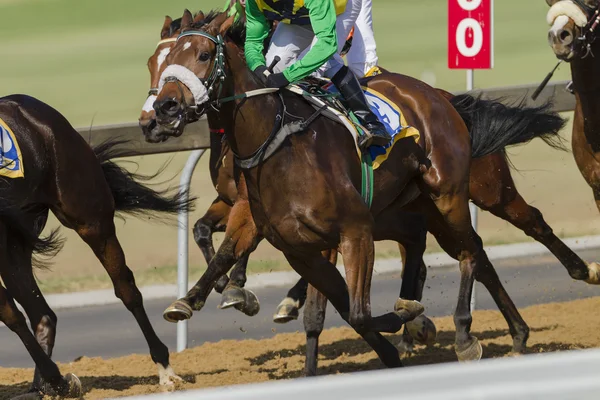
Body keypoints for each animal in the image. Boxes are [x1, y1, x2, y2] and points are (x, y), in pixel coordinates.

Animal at [0, 94, 192, 396]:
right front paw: (56, 382)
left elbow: (8, 312)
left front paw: (59, 380)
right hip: (15, 243)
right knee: (42, 314)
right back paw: (42, 388)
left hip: (91, 220)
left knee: (126, 288)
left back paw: (165, 369)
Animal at [151, 11, 568, 366]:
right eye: (155, 62)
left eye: (204, 54)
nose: (163, 110)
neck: (277, 141)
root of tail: (440, 96)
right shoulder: (292, 244)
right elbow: (339, 310)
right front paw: (198, 297)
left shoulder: (353, 230)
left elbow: (356, 311)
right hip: (412, 209)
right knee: (445, 245)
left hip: (457, 192)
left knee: (480, 246)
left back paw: (476, 327)